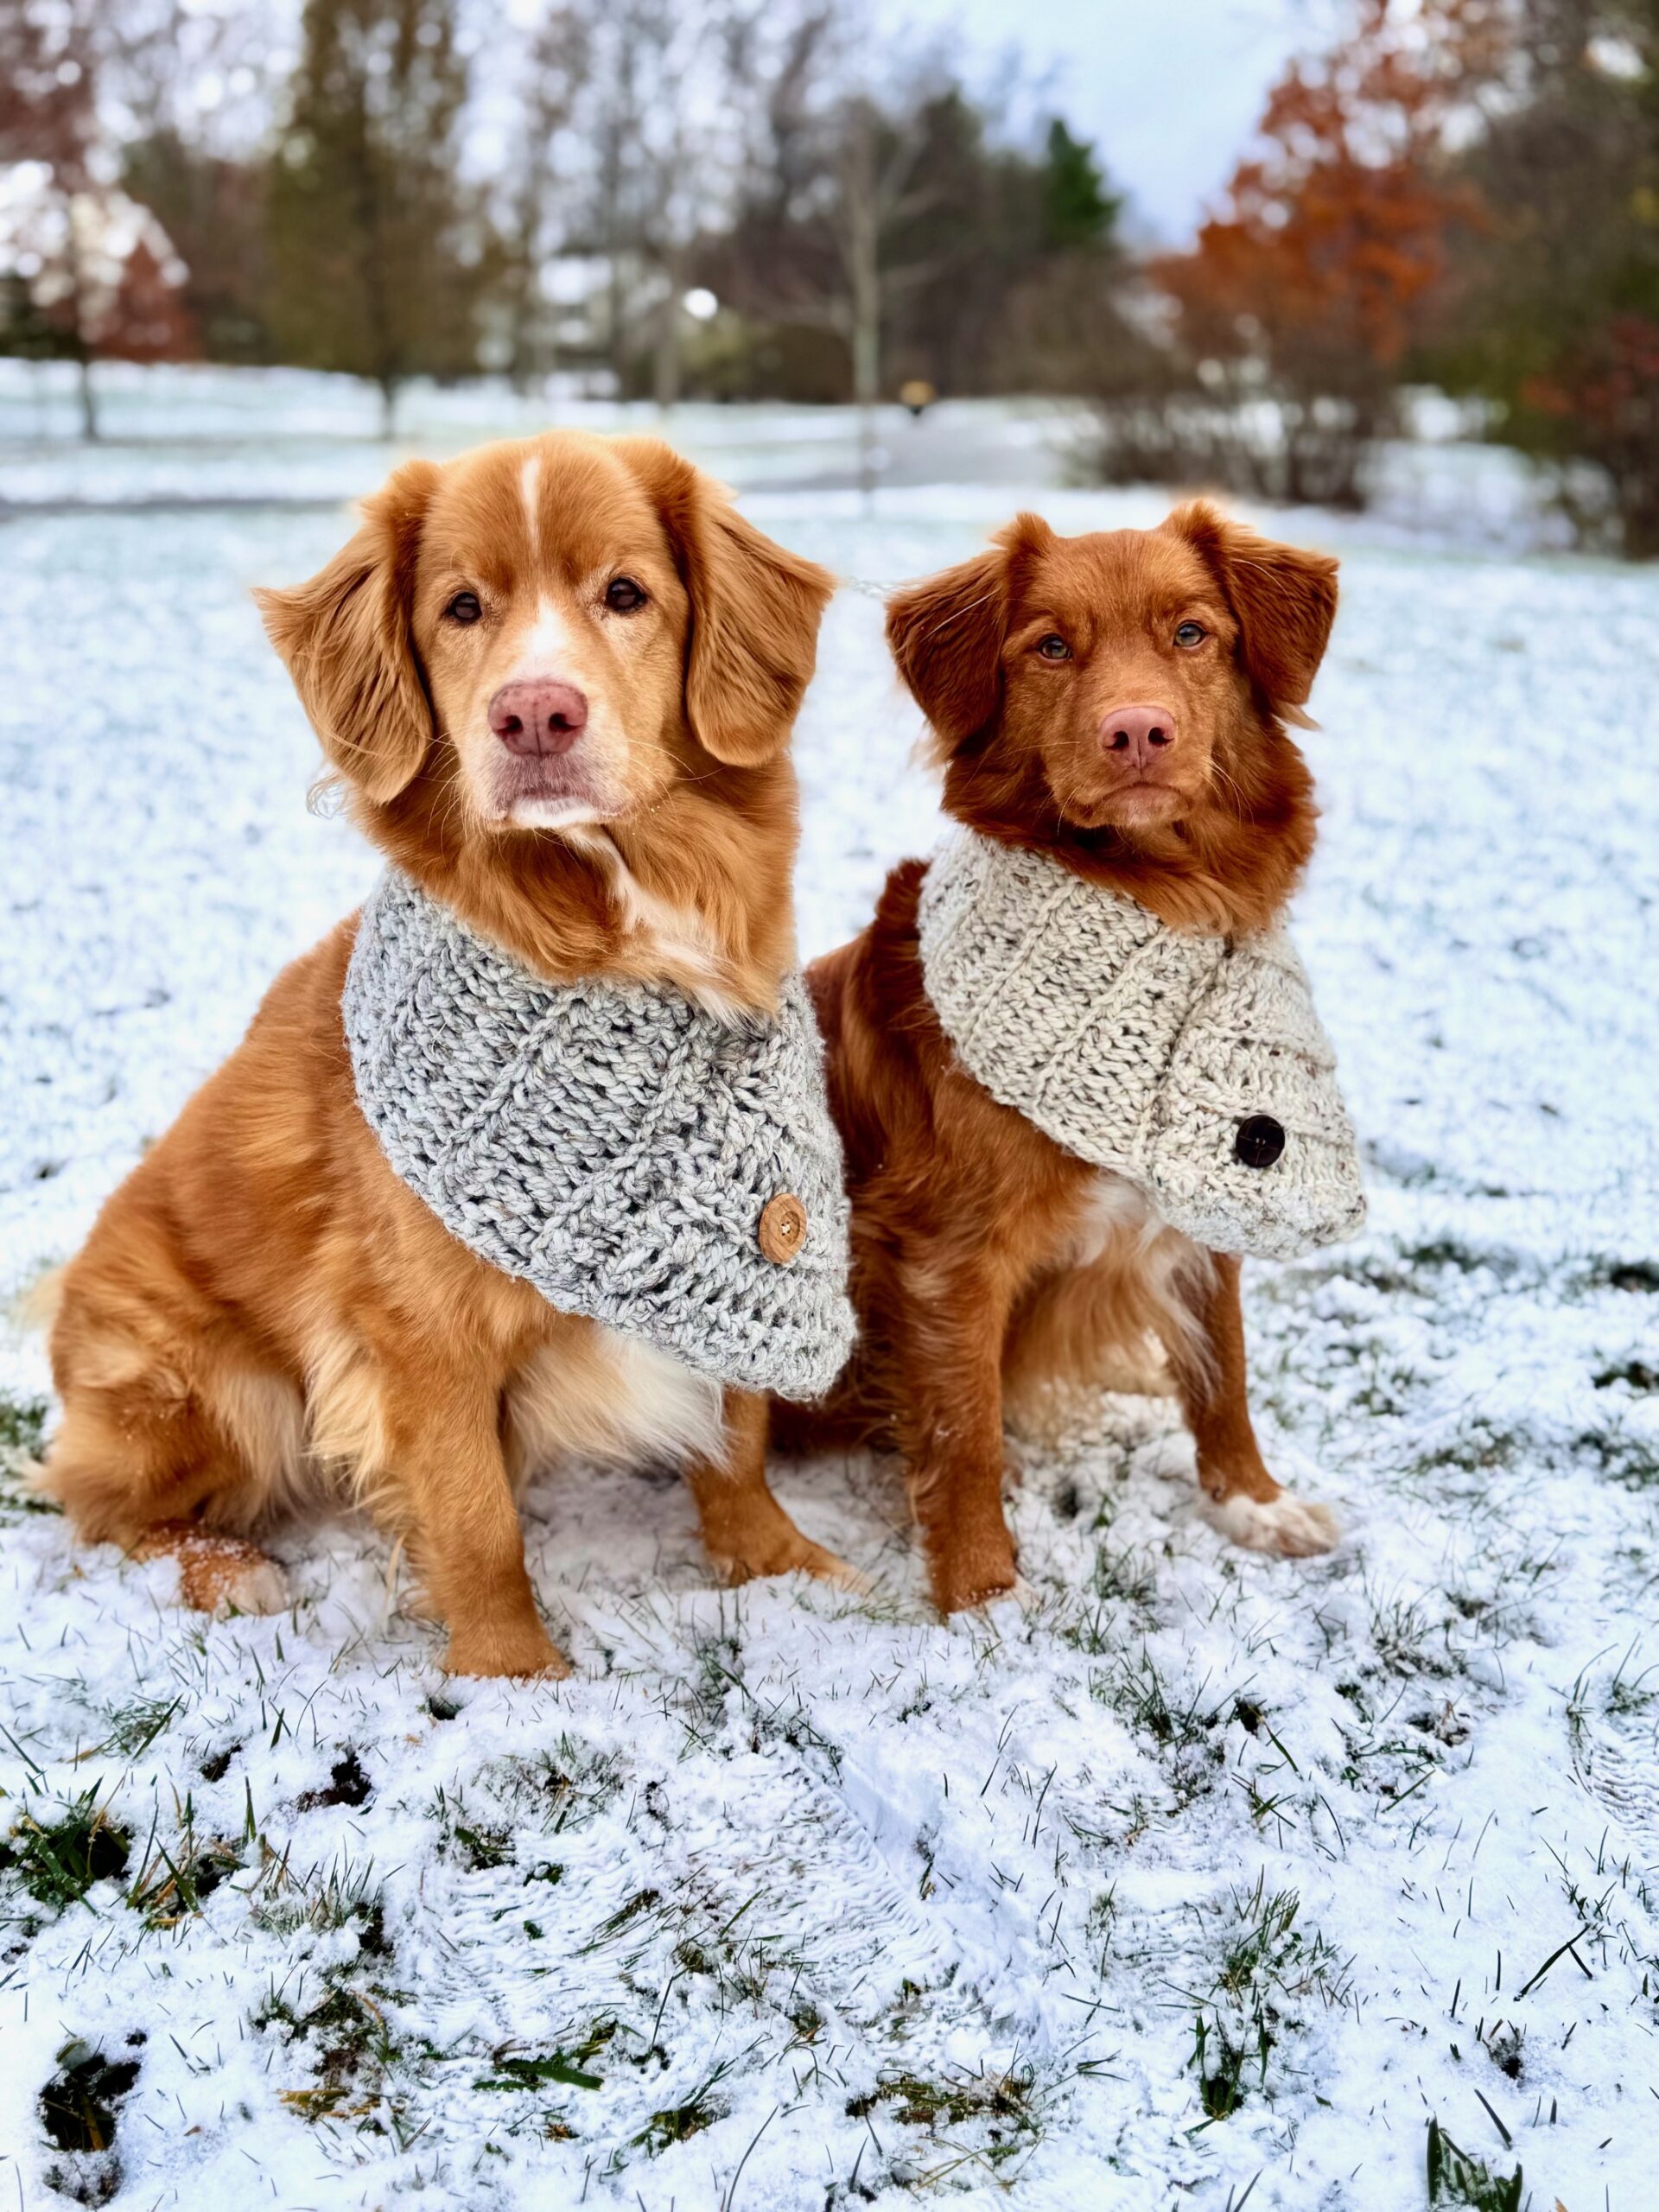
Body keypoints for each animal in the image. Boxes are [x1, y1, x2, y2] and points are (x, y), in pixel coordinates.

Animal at [39, 430, 854, 1677]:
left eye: (626, 594)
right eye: (462, 608)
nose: (535, 716)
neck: (614, 929)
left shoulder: (732, 1263)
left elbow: (740, 1433)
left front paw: (781, 1568)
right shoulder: (417, 1329)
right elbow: (474, 1516)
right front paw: (515, 1674)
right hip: (217, 1389)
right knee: (97, 1508)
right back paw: (227, 1569)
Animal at [778, 500, 1342, 1614]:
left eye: (1192, 633)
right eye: (1049, 647)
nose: (1138, 730)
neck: (1159, 896)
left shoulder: (1201, 1199)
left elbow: (1226, 1377)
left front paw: (1252, 1505)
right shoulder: (947, 1252)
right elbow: (963, 1434)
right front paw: (982, 1600)